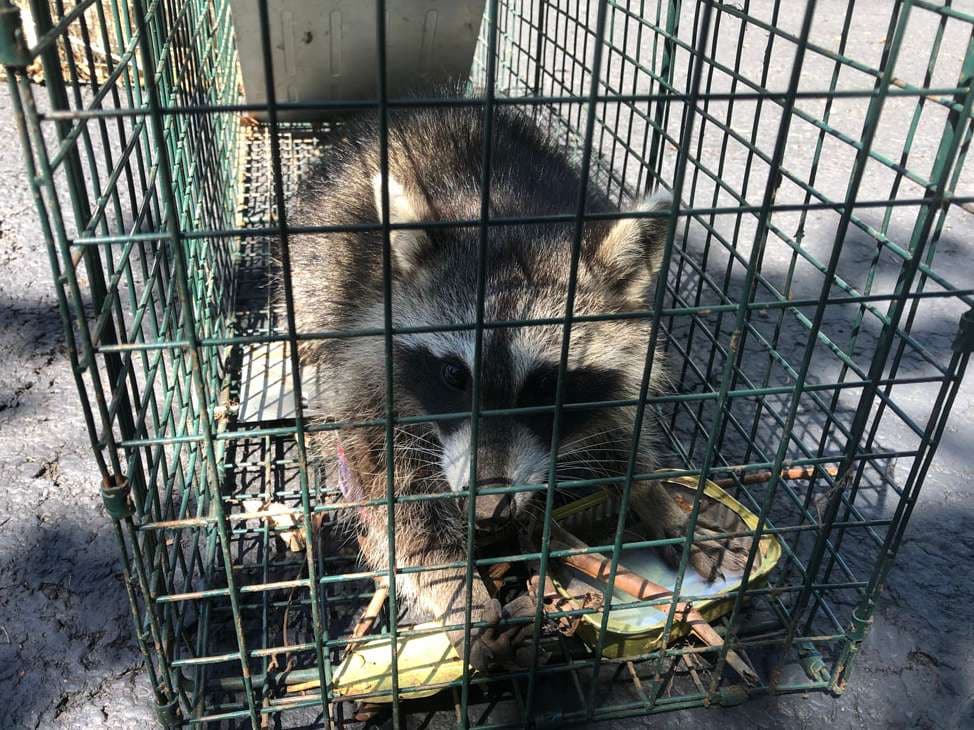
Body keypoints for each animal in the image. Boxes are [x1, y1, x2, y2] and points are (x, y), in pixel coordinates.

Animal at [288, 103, 745, 671]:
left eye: (547, 384)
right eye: (454, 376)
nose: (489, 510)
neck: (511, 215)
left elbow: (621, 431)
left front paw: (656, 499)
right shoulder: (365, 370)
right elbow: (395, 501)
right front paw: (458, 590)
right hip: (315, 277)